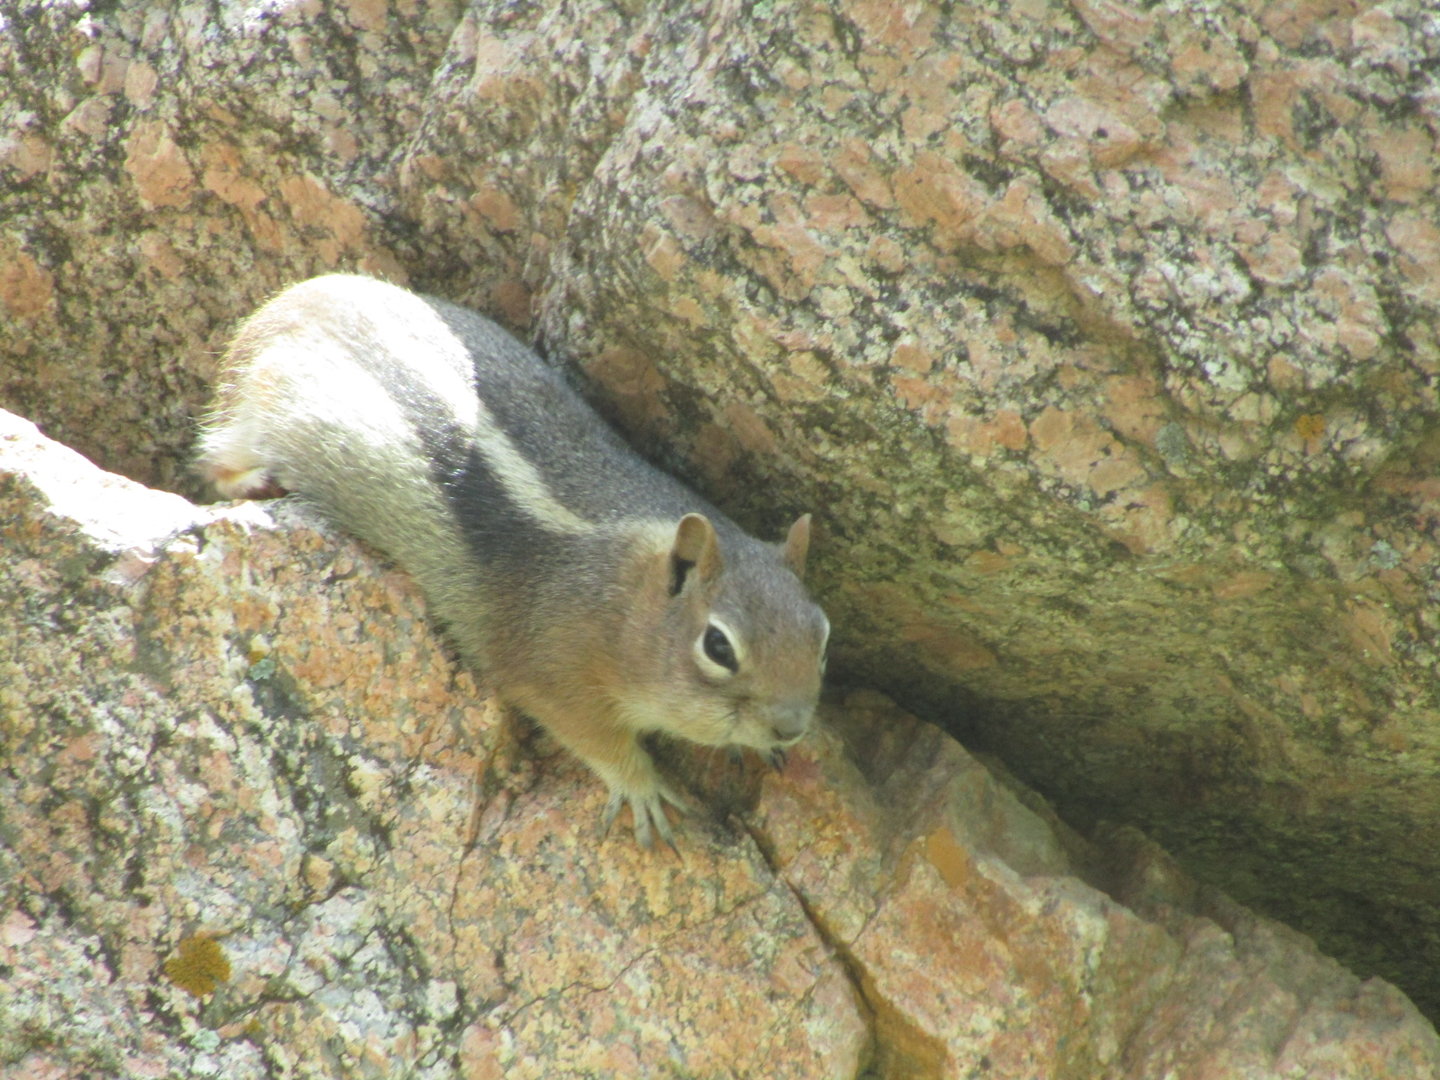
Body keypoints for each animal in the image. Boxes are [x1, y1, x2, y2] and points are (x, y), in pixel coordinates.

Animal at [196, 273, 830, 849]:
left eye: (822, 635)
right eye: (718, 646)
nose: (793, 728)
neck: (622, 600)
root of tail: (277, 308)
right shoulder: (549, 667)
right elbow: (592, 734)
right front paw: (643, 787)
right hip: (255, 403)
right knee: (216, 462)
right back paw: (256, 479)